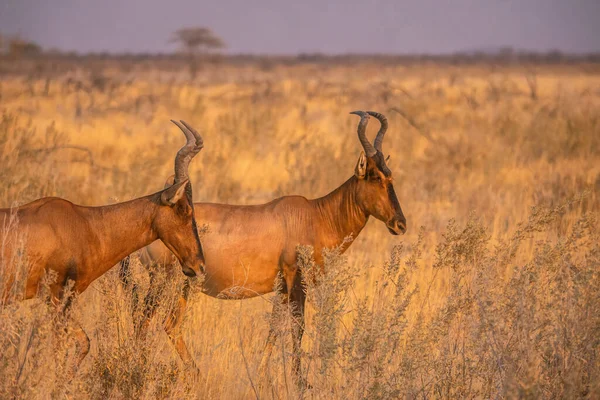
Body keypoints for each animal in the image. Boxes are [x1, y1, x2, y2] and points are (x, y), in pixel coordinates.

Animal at [0, 120, 206, 368]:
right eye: (184, 209)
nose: (199, 266)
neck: (85, 223)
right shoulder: (57, 297)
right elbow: (59, 353)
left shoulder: (57, 300)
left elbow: (84, 344)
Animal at [119, 111, 406, 386]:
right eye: (374, 176)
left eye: (391, 175)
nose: (400, 224)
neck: (314, 215)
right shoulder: (295, 278)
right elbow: (297, 326)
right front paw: (301, 382)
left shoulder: (280, 286)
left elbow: (275, 327)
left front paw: (261, 375)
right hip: (164, 281)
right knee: (145, 321)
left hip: (183, 285)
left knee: (171, 325)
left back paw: (195, 375)